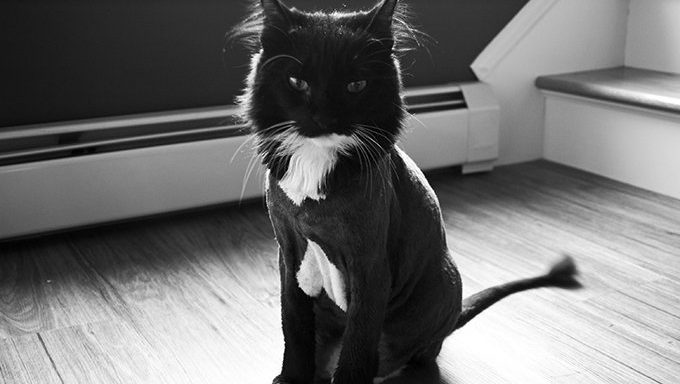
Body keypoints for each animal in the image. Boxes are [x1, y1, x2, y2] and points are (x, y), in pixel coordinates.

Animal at [230, 0, 580, 384]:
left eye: (356, 85)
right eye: (297, 82)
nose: (324, 118)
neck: (315, 169)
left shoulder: (369, 266)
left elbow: (358, 343)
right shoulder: (288, 254)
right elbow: (293, 326)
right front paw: (291, 377)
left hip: (444, 281)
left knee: (421, 354)